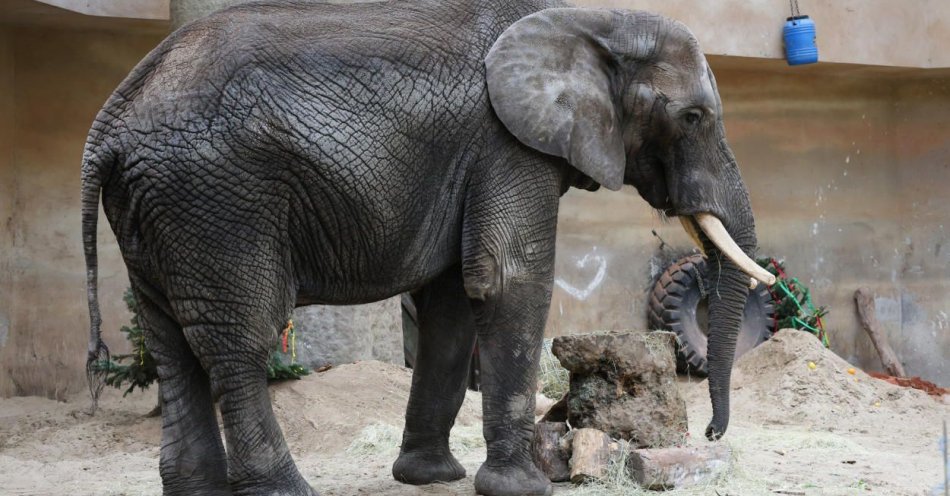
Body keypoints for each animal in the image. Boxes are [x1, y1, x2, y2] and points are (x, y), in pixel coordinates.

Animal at [83, 0, 772, 496]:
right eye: (693, 118)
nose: (711, 432)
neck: (592, 20)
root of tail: (109, 124)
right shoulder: (506, 146)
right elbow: (507, 279)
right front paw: (521, 488)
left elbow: (452, 302)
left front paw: (430, 479)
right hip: (218, 202)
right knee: (239, 344)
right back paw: (283, 491)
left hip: (160, 213)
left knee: (171, 342)